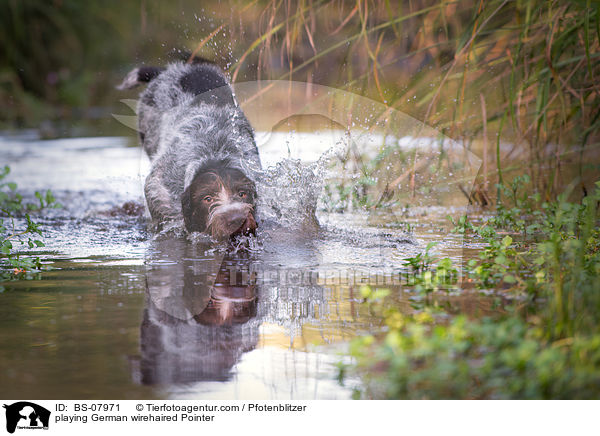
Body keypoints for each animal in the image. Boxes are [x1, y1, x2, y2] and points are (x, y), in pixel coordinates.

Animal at [117, 58, 260, 240]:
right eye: (207, 198)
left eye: (242, 193)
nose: (236, 219)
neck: (214, 153)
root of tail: (171, 70)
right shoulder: (159, 194)